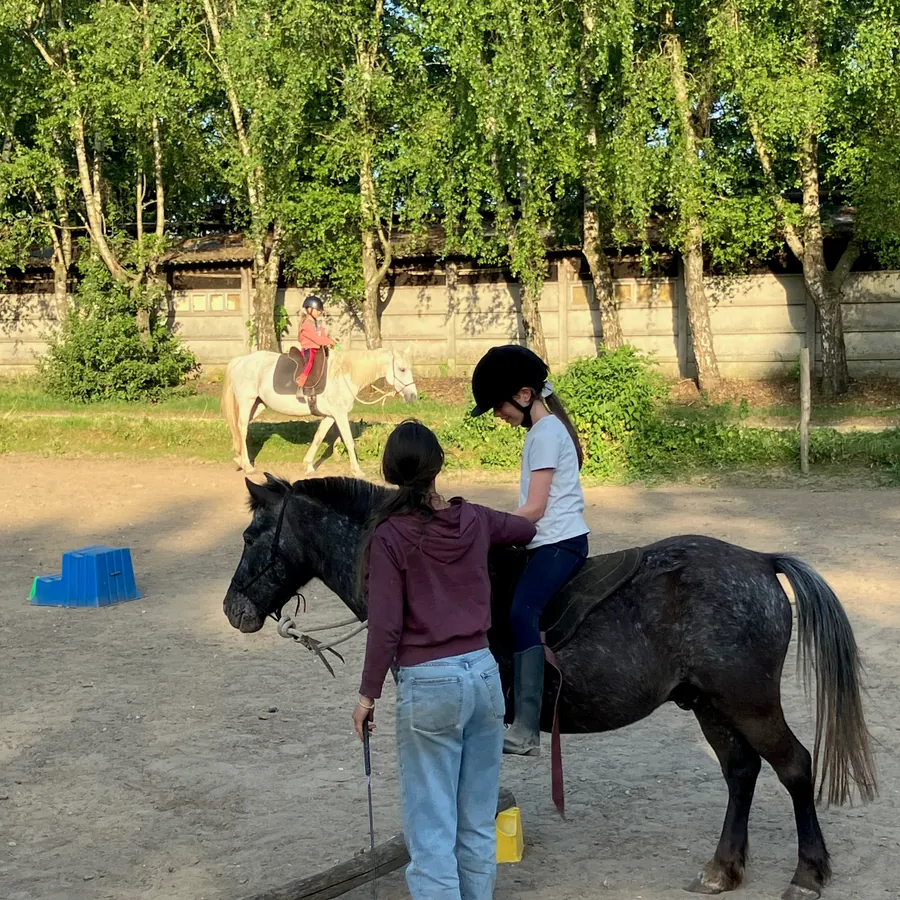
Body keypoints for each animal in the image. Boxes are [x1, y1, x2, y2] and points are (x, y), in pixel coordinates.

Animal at [220, 346, 417, 477]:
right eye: (402, 369)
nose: (413, 396)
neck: (344, 374)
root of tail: (240, 361)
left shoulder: (330, 416)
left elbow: (318, 437)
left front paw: (308, 466)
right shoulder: (340, 414)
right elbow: (348, 441)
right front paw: (357, 470)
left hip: (258, 405)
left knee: (238, 429)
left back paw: (239, 459)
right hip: (247, 402)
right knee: (242, 429)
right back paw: (247, 466)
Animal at [222, 475, 877, 900]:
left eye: (253, 533)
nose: (233, 609)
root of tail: (760, 561)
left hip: (749, 701)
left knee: (795, 766)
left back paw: (808, 874)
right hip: (709, 704)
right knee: (741, 772)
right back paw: (723, 869)